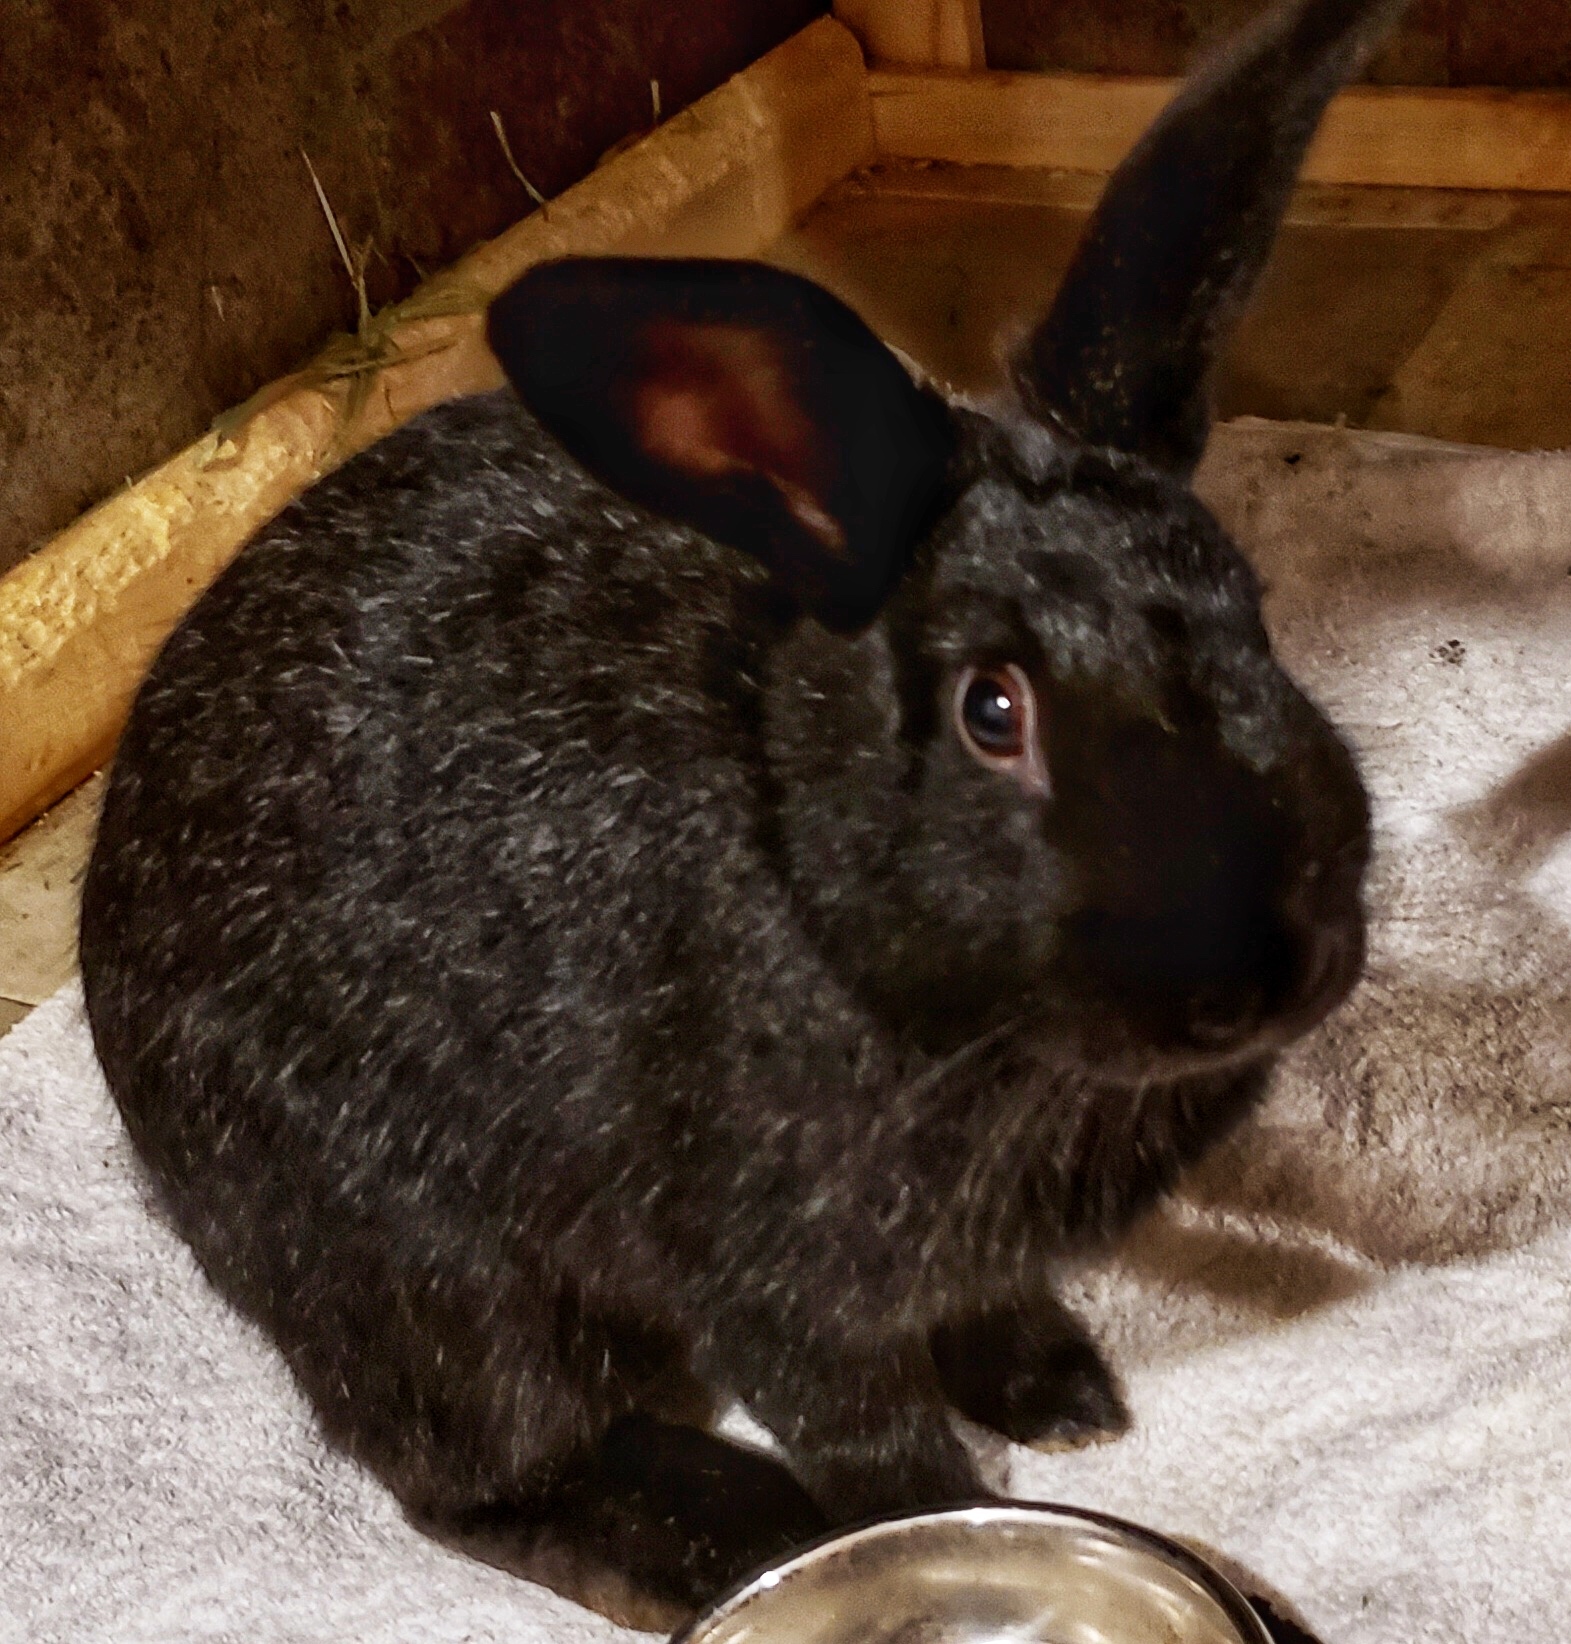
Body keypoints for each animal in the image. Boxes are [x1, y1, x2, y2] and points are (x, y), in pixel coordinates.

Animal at [79, 0, 1393, 1625]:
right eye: (992, 712)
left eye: (1251, 617)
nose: (1261, 971)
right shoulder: (776, 1282)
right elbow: (868, 1437)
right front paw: (925, 1527)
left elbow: (989, 1307)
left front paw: (1062, 1392)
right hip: (416, 1271)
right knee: (473, 1477)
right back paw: (722, 1533)